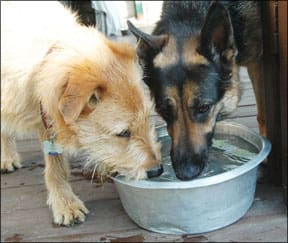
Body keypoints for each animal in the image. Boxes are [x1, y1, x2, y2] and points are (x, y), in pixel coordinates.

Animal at [1, 1, 161, 226]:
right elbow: (55, 164)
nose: (158, 171)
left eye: (148, 120)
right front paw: (64, 202)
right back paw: (7, 156)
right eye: (123, 133)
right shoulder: (46, 115)